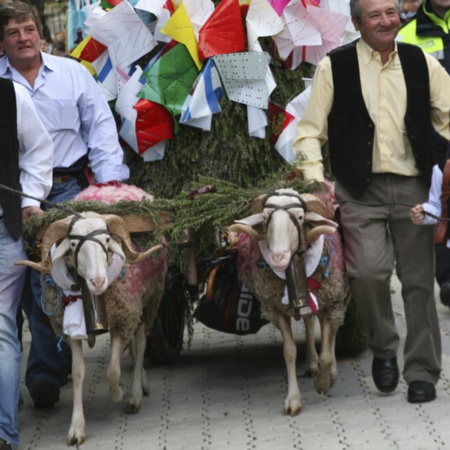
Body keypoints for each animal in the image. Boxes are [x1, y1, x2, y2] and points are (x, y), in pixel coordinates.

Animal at [16, 184, 169, 446]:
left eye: (107, 240)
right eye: (73, 245)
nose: (98, 281)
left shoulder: (123, 321)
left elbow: (113, 369)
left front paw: (117, 393)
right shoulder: (70, 333)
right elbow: (78, 374)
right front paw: (76, 427)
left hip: (149, 302)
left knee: (140, 345)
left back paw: (134, 395)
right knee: (135, 349)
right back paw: (143, 383)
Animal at [229, 188, 352, 416]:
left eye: (300, 217)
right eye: (266, 218)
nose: (278, 257)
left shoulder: (332, 304)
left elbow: (327, 354)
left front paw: (323, 383)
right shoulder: (276, 310)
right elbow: (289, 351)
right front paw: (293, 400)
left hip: (336, 301)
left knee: (330, 333)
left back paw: (330, 372)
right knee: (310, 320)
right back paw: (311, 364)